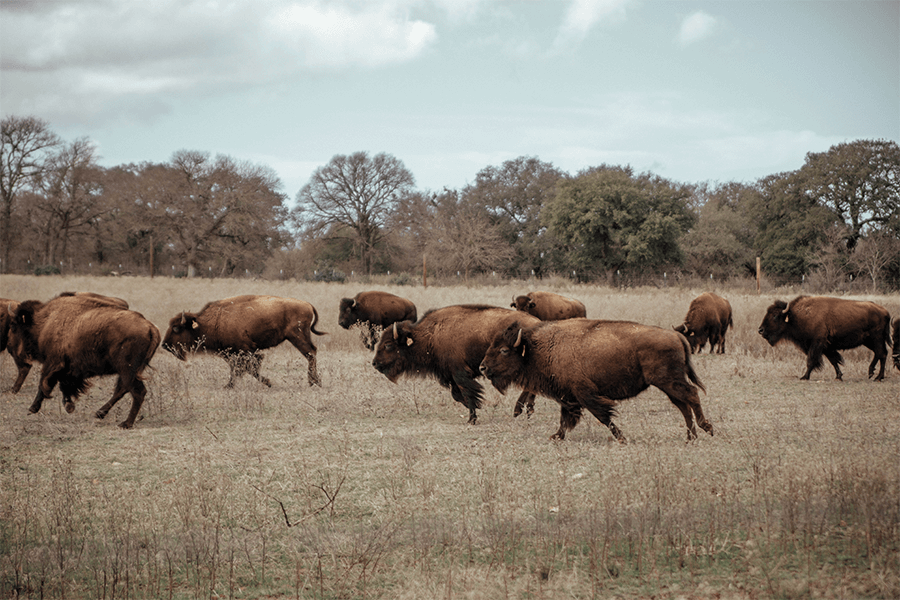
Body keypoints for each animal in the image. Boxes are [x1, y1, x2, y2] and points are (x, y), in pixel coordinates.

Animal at [7, 292, 159, 428]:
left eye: (14, 325)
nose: (10, 347)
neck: (45, 321)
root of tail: (151, 328)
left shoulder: (52, 363)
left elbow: (44, 384)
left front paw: (33, 408)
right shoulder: (66, 369)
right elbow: (63, 385)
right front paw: (69, 406)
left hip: (127, 370)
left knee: (137, 392)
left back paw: (126, 423)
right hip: (128, 371)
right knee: (122, 389)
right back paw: (100, 413)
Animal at [163, 296, 326, 390]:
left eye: (176, 328)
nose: (164, 345)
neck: (213, 321)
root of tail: (307, 304)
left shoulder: (244, 351)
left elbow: (247, 368)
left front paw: (267, 382)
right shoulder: (231, 353)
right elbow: (241, 368)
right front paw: (229, 385)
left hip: (297, 337)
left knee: (311, 353)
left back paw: (314, 382)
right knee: (312, 353)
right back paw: (314, 381)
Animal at [370, 304, 536, 426]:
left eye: (388, 345)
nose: (375, 363)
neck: (431, 334)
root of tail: (534, 322)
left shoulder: (459, 373)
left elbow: (468, 393)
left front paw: (472, 418)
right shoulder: (449, 375)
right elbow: (456, 395)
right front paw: (473, 409)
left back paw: (519, 410)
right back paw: (527, 411)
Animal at [482, 318, 712, 440]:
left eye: (503, 350)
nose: (482, 367)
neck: (534, 348)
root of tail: (676, 336)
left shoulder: (584, 393)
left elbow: (603, 416)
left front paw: (622, 438)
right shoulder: (568, 396)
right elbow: (566, 418)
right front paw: (557, 436)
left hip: (668, 381)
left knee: (691, 395)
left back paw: (706, 428)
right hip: (668, 384)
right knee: (683, 404)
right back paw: (691, 436)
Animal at [760, 294, 892, 380]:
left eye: (775, 316)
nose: (760, 330)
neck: (795, 316)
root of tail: (885, 311)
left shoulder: (817, 343)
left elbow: (811, 360)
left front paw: (804, 376)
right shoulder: (827, 346)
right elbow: (833, 361)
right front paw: (839, 376)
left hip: (876, 339)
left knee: (881, 353)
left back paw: (878, 377)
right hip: (868, 341)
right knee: (880, 353)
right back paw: (872, 373)